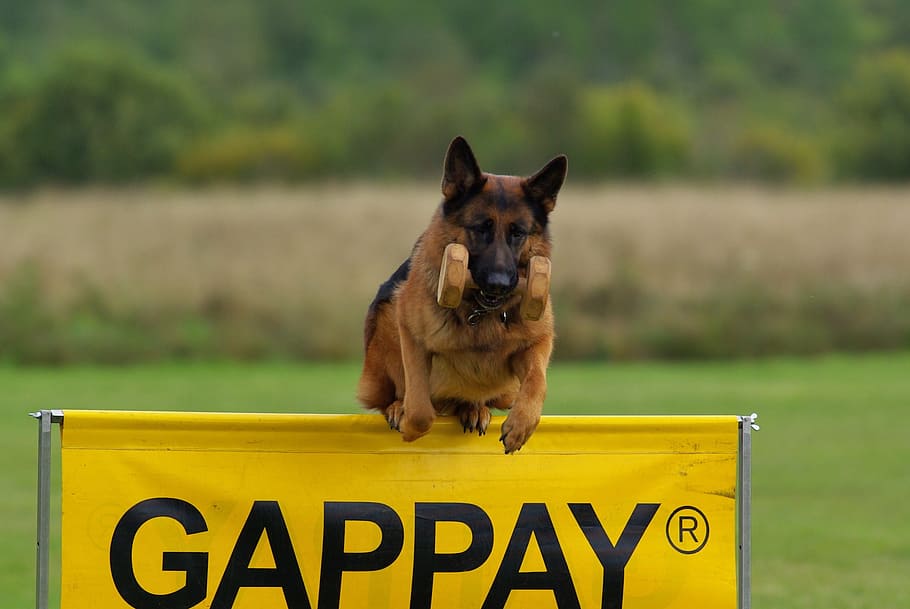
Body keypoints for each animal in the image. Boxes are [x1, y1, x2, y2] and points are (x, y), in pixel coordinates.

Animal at [358, 137, 568, 452]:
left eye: (518, 233)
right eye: (481, 228)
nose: (498, 284)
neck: (481, 314)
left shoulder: (537, 343)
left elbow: (536, 382)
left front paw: (520, 425)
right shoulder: (409, 332)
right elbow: (419, 406)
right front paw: (409, 424)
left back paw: (474, 409)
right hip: (384, 326)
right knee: (391, 396)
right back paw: (396, 407)